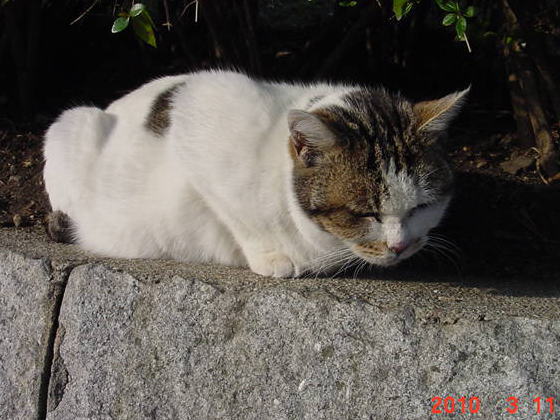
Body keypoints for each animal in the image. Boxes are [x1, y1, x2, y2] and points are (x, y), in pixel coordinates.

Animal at [41, 70, 466, 278]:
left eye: (421, 207)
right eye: (364, 213)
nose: (400, 246)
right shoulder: (197, 106)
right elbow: (237, 216)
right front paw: (272, 257)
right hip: (72, 124)